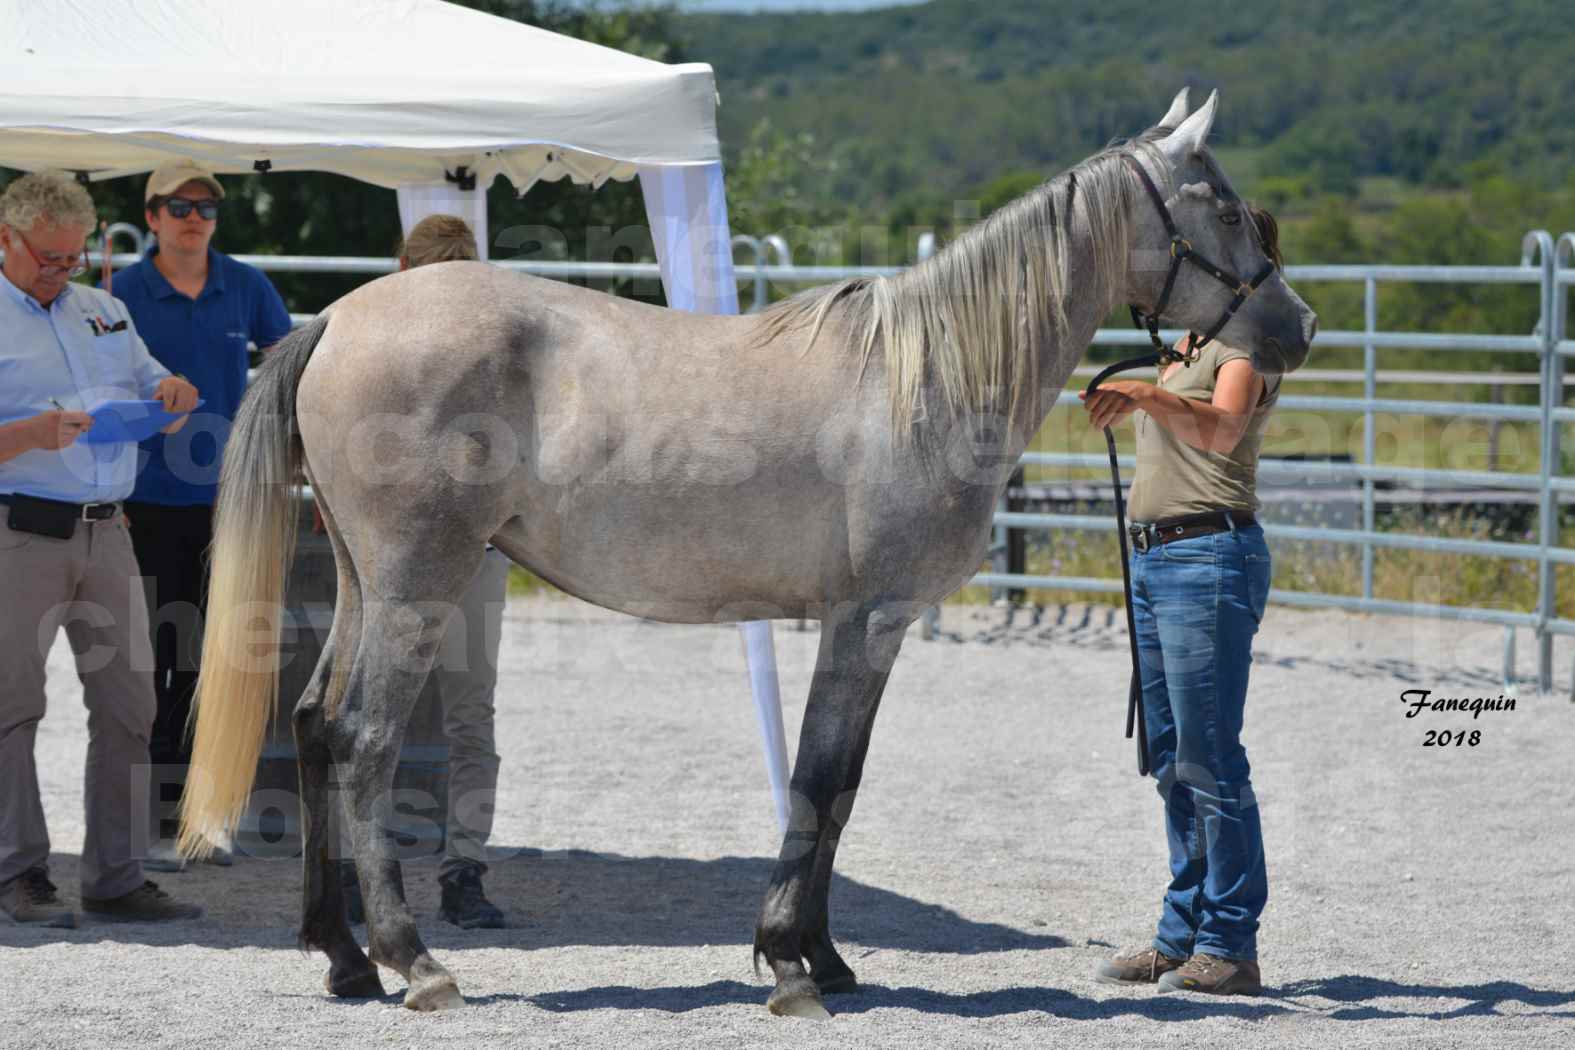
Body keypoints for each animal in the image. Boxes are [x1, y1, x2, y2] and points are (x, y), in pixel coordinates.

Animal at [181, 92, 1316, 1020]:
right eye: (1220, 208)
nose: (1297, 326)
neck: (926, 376)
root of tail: (336, 319)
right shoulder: (864, 618)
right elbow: (815, 779)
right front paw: (787, 963)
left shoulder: (878, 626)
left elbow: (841, 783)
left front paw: (827, 957)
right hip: (417, 585)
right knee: (365, 739)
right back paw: (414, 963)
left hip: (366, 583)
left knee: (315, 725)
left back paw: (343, 958)